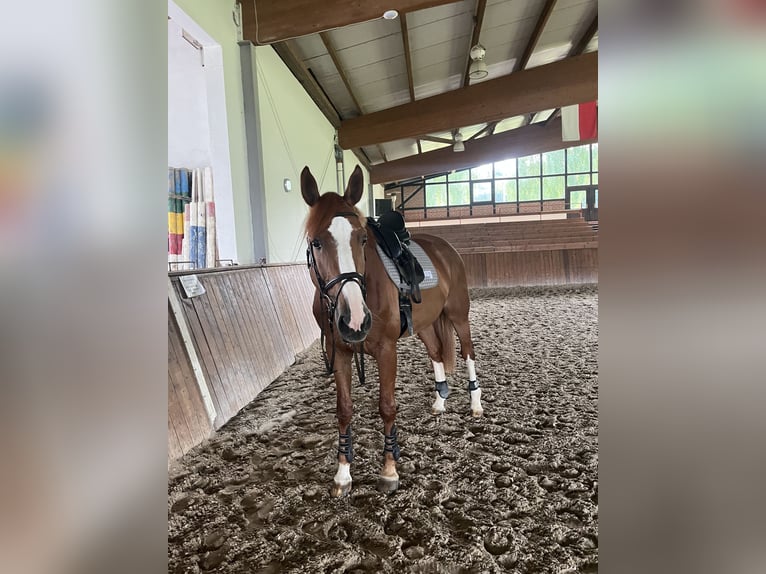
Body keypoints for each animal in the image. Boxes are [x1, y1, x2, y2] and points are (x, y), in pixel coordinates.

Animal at [301, 164, 483, 497]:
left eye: (362, 239)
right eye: (316, 242)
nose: (355, 320)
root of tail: (446, 248)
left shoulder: (387, 349)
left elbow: (387, 407)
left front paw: (389, 471)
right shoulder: (341, 353)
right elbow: (344, 410)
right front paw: (343, 475)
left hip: (458, 314)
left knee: (467, 352)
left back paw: (476, 404)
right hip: (424, 324)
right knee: (437, 353)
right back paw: (440, 401)